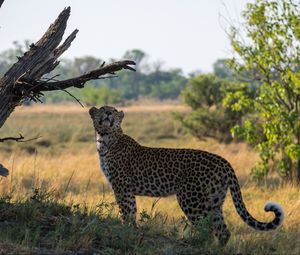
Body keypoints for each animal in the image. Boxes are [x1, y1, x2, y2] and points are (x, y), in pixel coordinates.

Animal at [88, 105, 284, 245]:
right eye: (104, 109)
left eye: (114, 111)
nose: (108, 113)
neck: (104, 138)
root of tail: (224, 161)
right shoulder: (125, 188)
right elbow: (132, 209)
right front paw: (133, 229)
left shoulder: (121, 186)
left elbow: (126, 210)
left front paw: (126, 229)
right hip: (214, 201)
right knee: (222, 230)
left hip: (190, 198)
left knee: (206, 228)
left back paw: (193, 242)